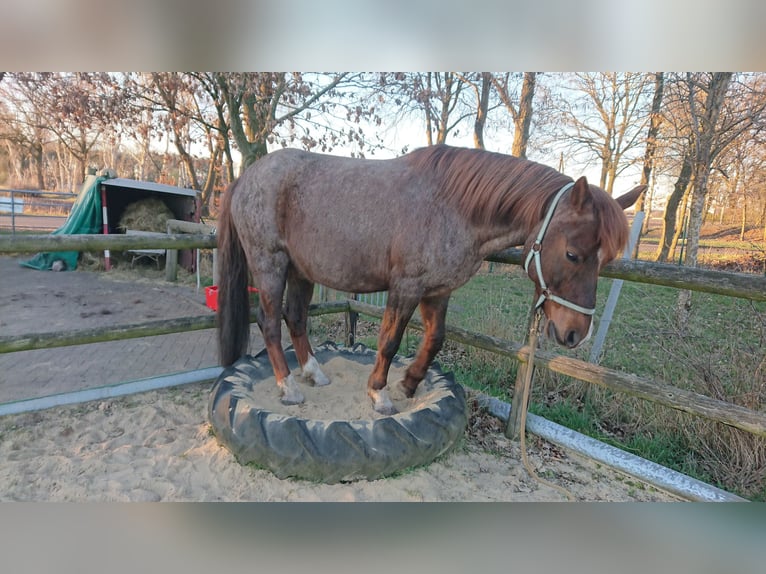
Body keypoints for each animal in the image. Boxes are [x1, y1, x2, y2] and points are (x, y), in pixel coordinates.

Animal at [217, 145, 645, 415]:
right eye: (573, 253)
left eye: (605, 261)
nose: (575, 334)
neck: (452, 206)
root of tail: (244, 178)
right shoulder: (406, 288)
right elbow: (389, 342)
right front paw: (380, 394)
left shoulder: (438, 291)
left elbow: (435, 339)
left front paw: (408, 384)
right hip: (270, 264)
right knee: (269, 322)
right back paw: (288, 388)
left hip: (301, 271)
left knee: (296, 318)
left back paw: (314, 374)